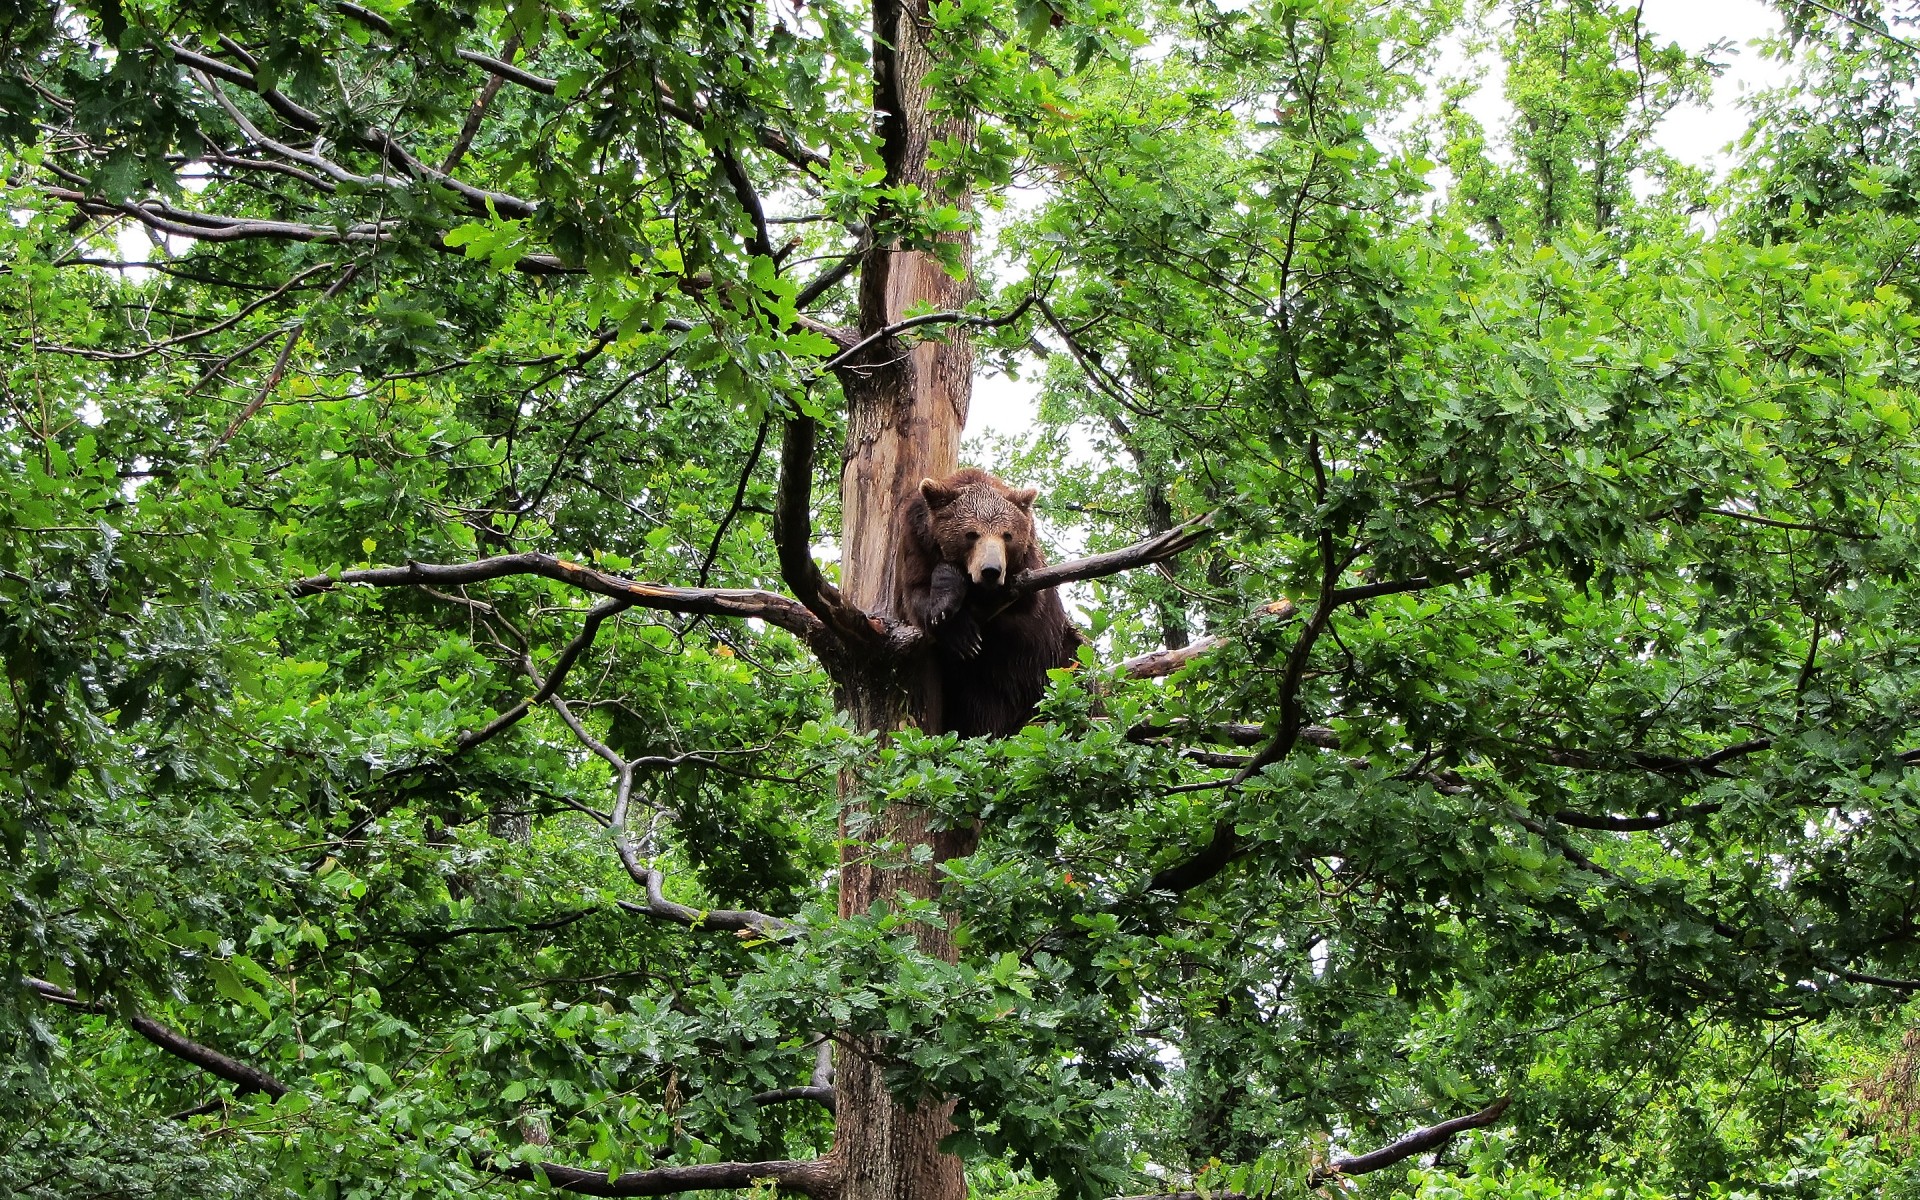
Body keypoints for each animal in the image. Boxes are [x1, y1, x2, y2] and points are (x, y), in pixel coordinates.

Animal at [894, 470, 1090, 741]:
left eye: (1007, 535)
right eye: (971, 533)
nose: (991, 570)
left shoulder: (1028, 575)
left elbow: (1023, 603)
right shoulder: (916, 544)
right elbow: (918, 597)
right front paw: (959, 628)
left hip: (1056, 658)